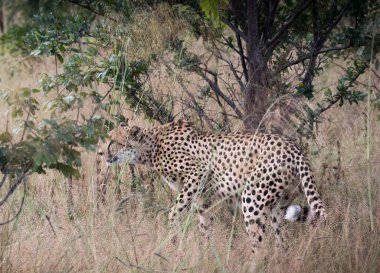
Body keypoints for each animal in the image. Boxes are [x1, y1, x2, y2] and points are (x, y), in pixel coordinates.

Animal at [98, 120, 326, 252]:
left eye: (112, 142)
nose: (100, 153)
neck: (152, 146)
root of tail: (294, 147)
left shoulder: (197, 173)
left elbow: (174, 212)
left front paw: (173, 235)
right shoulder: (201, 195)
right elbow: (205, 224)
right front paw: (206, 252)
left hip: (252, 198)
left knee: (257, 241)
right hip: (278, 206)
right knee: (282, 239)